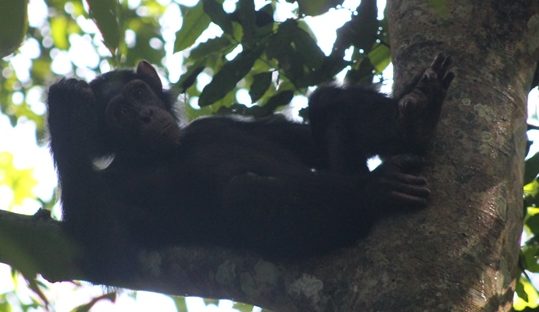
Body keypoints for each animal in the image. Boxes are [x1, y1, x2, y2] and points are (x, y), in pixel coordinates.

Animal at [48, 54, 456, 280]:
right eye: (120, 114)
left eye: (137, 93)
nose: (146, 116)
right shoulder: (116, 188)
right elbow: (107, 256)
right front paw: (65, 111)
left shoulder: (213, 124)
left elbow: (310, 146)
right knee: (243, 193)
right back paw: (374, 192)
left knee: (325, 103)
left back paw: (415, 118)